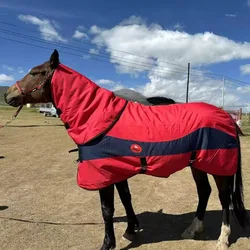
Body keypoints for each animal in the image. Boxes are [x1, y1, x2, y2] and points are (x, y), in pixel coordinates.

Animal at [3, 49, 248, 250]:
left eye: (36, 72)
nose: (8, 94)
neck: (99, 117)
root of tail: (226, 116)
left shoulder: (104, 174)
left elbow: (107, 209)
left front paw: (107, 244)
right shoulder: (117, 170)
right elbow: (126, 198)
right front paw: (131, 229)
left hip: (218, 167)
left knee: (224, 198)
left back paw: (222, 239)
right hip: (198, 165)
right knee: (204, 192)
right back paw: (192, 229)